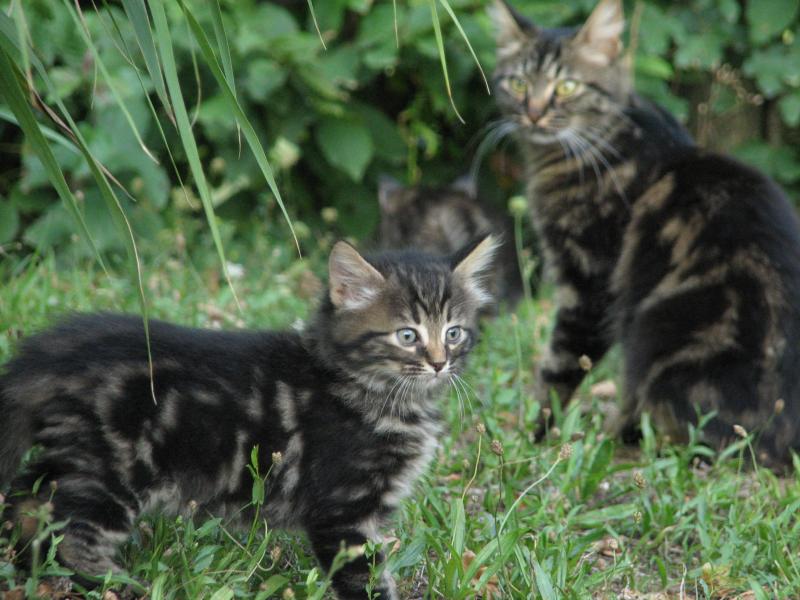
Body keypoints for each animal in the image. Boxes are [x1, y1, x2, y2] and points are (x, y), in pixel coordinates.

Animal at [0, 237, 496, 596]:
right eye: (407, 335)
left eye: (454, 332)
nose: (439, 363)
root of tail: (53, 353)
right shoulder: (344, 511)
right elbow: (366, 581)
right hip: (109, 472)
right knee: (68, 535)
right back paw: (115, 583)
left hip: (73, 460)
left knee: (27, 504)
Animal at [488, 0, 800, 464]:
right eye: (519, 82)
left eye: (567, 87)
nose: (534, 113)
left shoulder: (588, 283)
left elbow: (558, 369)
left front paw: (533, 436)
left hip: (656, 333)